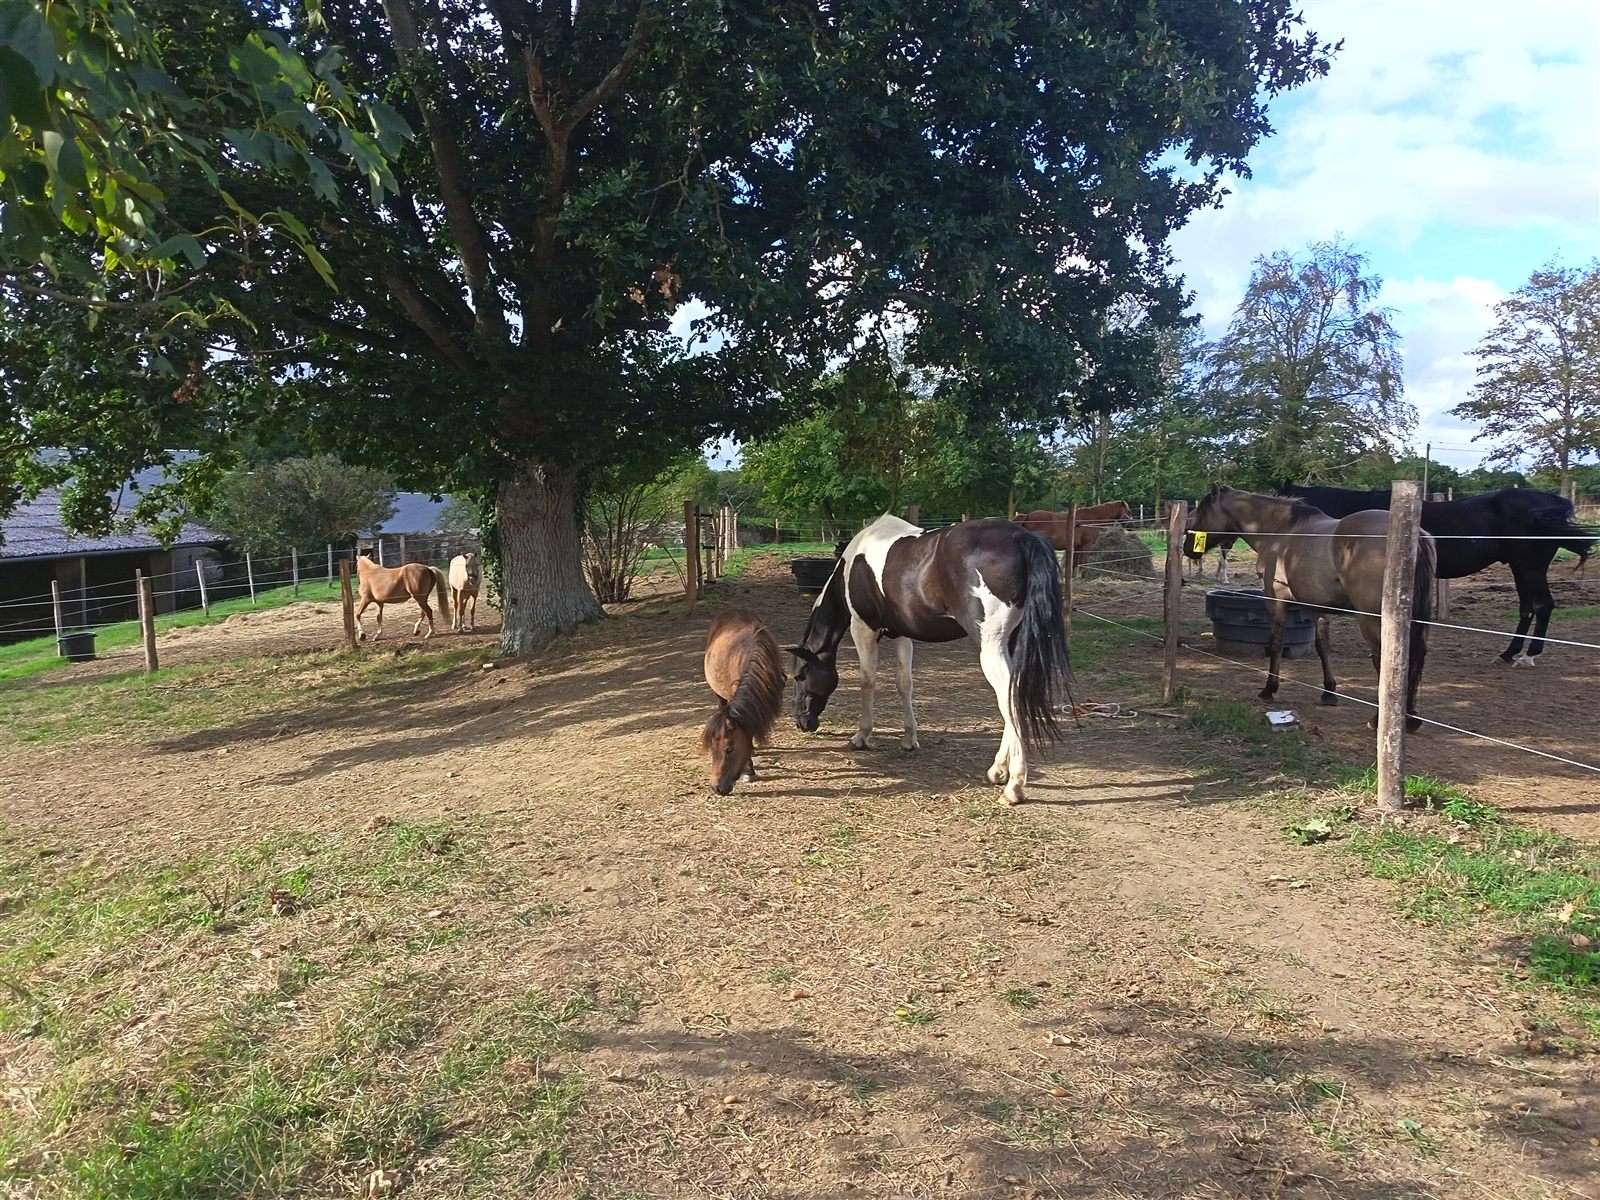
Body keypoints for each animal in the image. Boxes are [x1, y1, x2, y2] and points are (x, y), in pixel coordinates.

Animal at [786, 514, 1073, 806]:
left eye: (799, 676)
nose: (802, 722)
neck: (853, 565)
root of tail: (1020, 536)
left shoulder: (863, 629)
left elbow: (868, 682)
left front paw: (861, 736)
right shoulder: (901, 633)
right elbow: (904, 683)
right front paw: (909, 739)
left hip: (991, 647)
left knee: (1008, 696)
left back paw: (1014, 786)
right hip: (1009, 644)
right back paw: (997, 771)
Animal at [1189, 486, 1435, 731]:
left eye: (1201, 512)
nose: (1188, 550)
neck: (1280, 532)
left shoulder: (1276, 600)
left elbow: (1276, 643)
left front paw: (1269, 689)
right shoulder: (1317, 606)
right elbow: (1322, 646)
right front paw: (1328, 692)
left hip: (1372, 619)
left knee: (1384, 657)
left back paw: (1380, 719)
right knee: (1415, 654)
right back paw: (1410, 718)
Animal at [1277, 482, 1597, 666]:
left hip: (1529, 567)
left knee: (1542, 605)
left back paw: (1528, 656)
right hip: (1521, 568)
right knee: (1528, 607)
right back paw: (1508, 654)